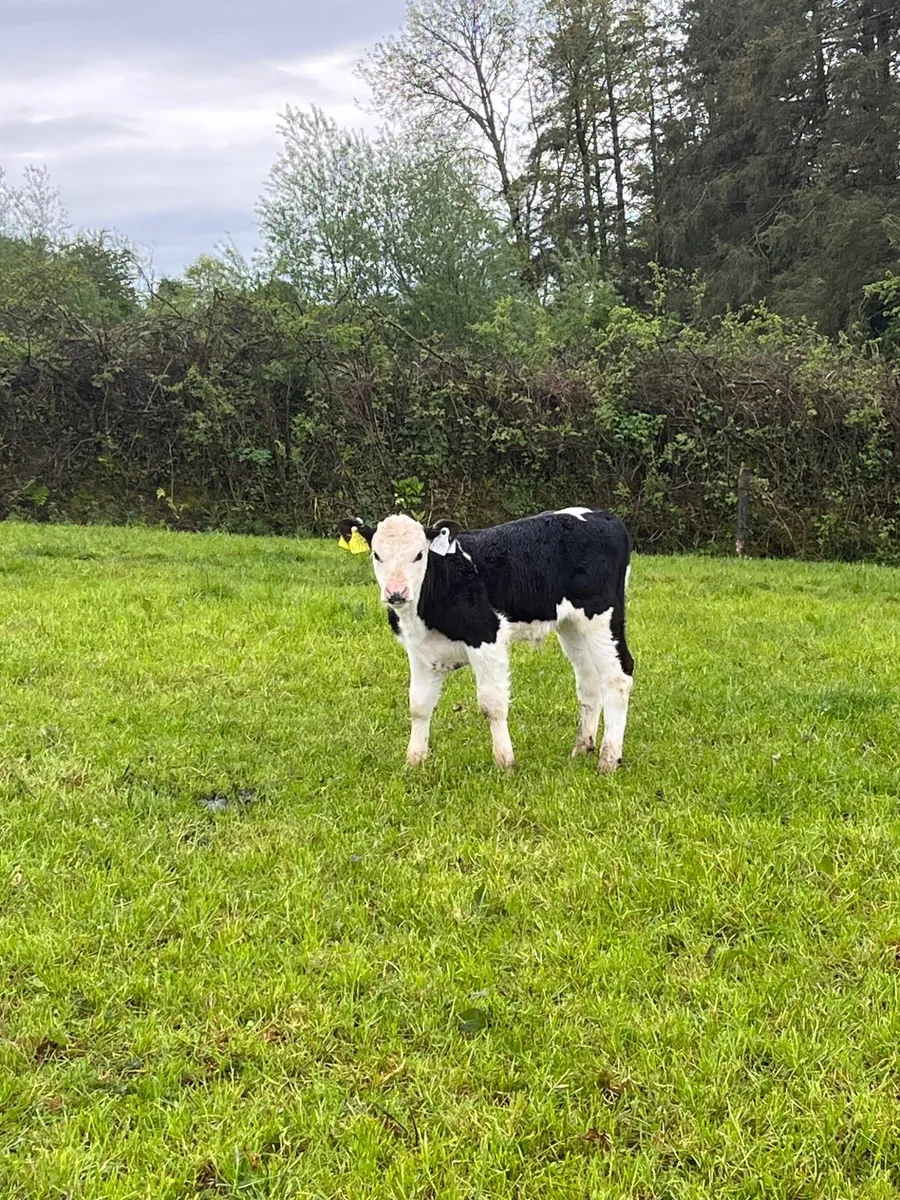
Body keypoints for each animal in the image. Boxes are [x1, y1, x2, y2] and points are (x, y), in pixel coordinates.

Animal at [338, 508, 634, 772]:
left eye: (419, 555)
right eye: (377, 555)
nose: (396, 592)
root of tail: (604, 516)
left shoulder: (486, 637)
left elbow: (493, 705)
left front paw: (505, 762)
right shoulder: (419, 650)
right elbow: (419, 706)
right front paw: (414, 762)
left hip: (602, 616)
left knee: (618, 676)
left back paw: (608, 760)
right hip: (572, 625)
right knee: (589, 681)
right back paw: (582, 747)